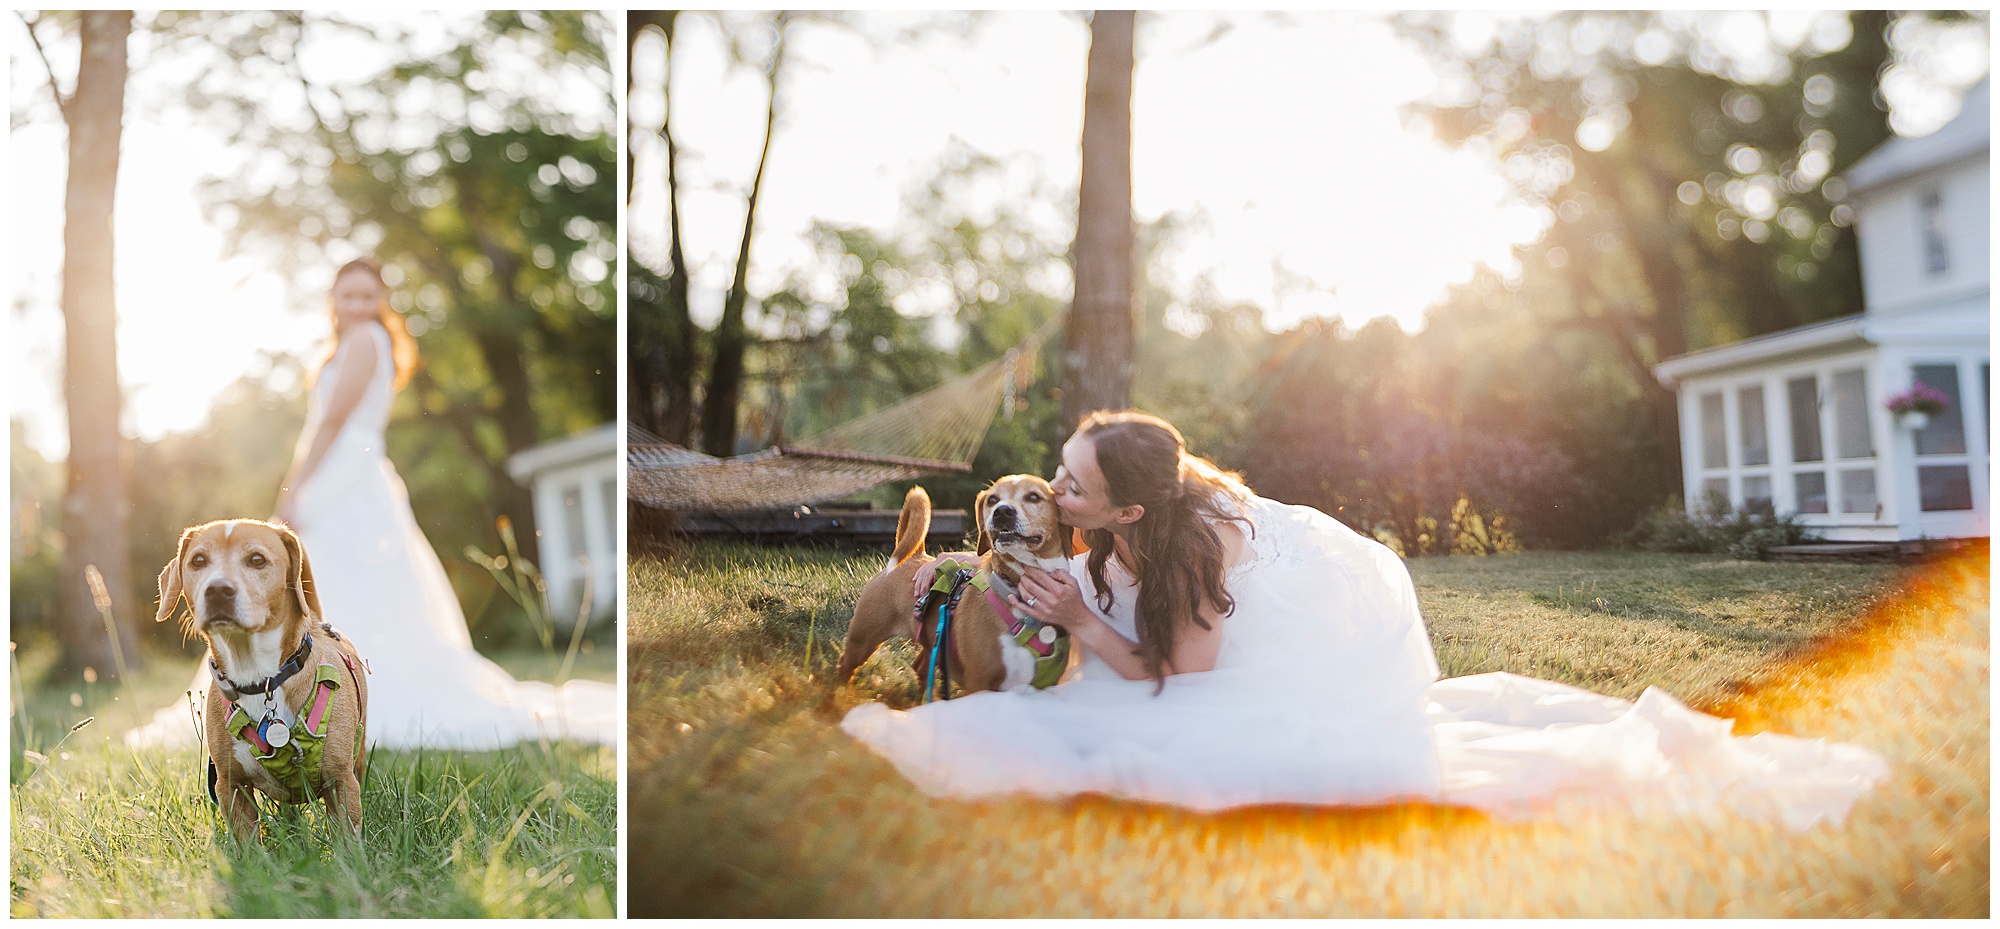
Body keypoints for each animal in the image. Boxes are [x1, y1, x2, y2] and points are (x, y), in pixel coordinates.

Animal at [154, 520, 370, 836]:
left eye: (257, 559)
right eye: (198, 561)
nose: (217, 590)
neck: (258, 677)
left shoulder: (340, 782)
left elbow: (348, 839)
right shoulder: (232, 786)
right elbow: (247, 843)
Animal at [832, 478, 1080, 696]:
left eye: (1033, 497)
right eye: (992, 500)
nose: (1001, 511)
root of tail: (916, 555)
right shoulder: (979, 683)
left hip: (932, 643)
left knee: (920, 667)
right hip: (862, 641)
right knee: (845, 665)